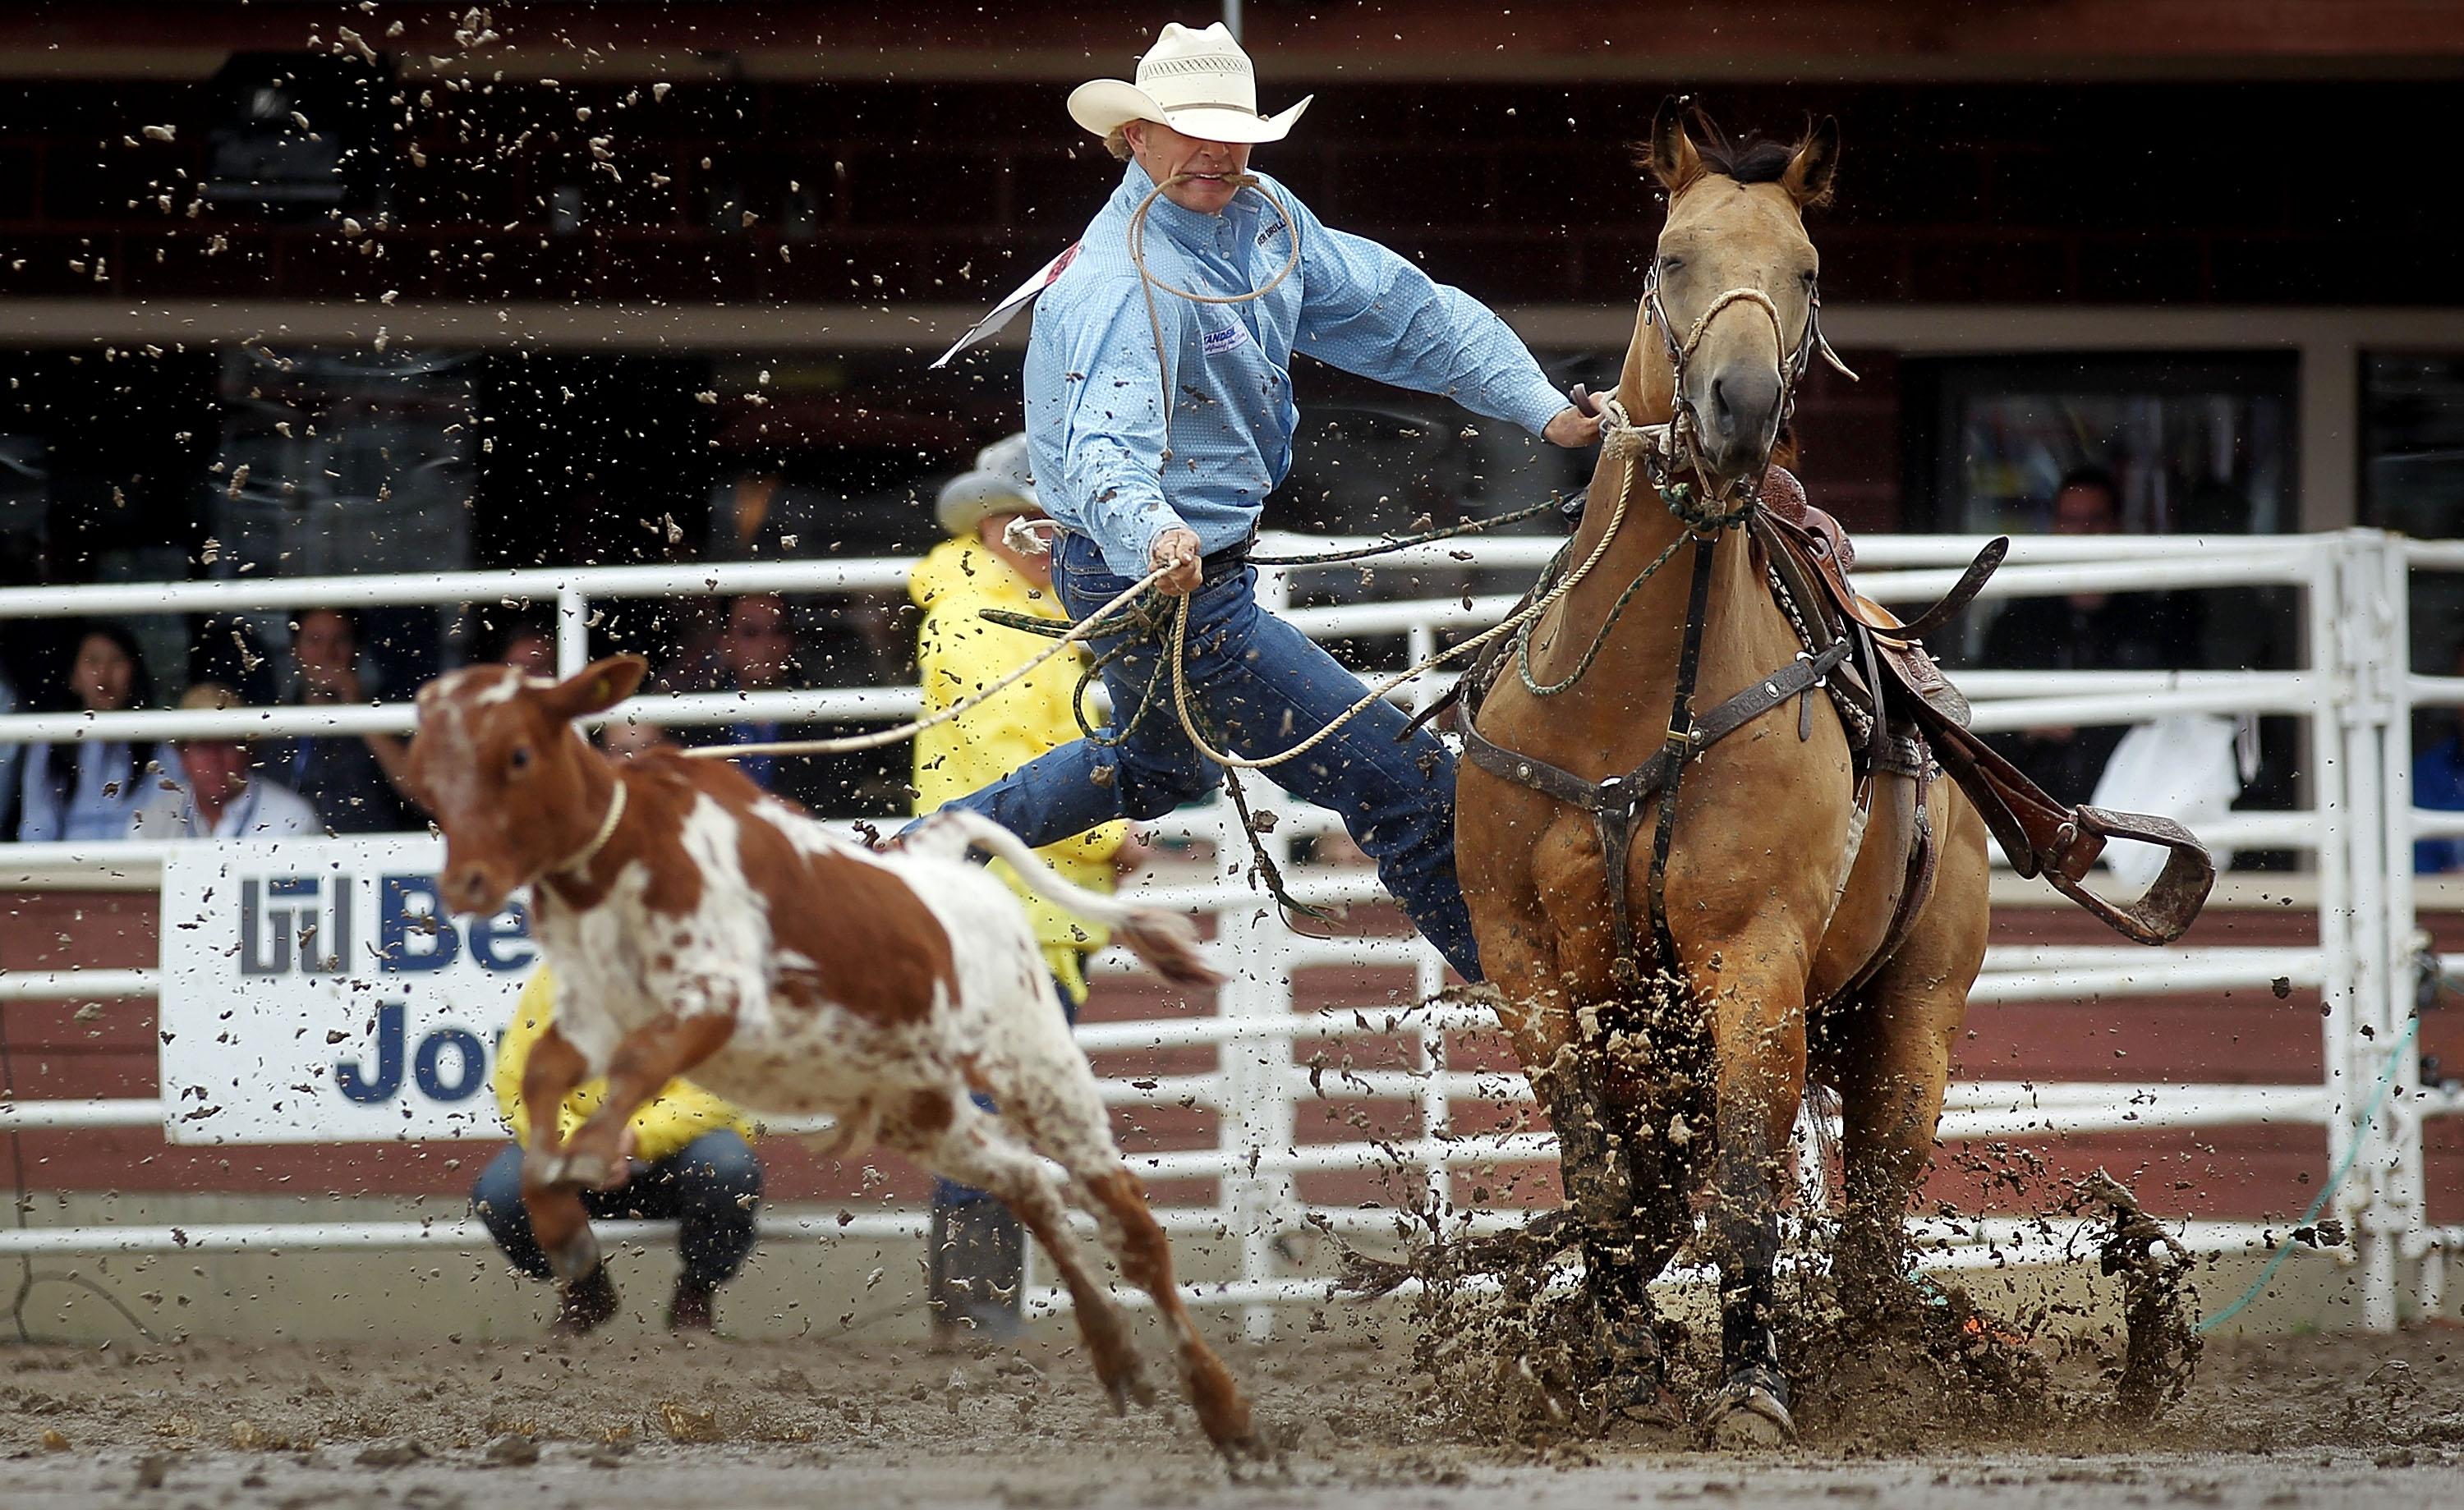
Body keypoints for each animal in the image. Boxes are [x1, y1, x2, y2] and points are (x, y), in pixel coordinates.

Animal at [409, 655, 1252, 1458]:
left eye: (518, 753)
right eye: (423, 772)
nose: (464, 882)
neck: (630, 851)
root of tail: (941, 867)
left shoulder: (717, 999)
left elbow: (640, 1069)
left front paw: (592, 1155)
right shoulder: (589, 1019)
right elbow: (545, 1074)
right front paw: (564, 1216)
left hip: (1035, 1062)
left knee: (1131, 1228)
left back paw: (1224, 1410)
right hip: (923, 1107)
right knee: (1031, 1187)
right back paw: (1118, 1357)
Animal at [1439, 100, 2218, 1439]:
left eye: (1806, 272)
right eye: (1672, 255)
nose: (1739, 408)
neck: (1632, 705)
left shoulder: (1754, 963)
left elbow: (1748, 1195)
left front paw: (1747, 1380)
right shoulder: (1524, 957)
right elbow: (1606, 1187)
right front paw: (1612, 1354)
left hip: (1908, 1022)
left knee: (1866, 1251)